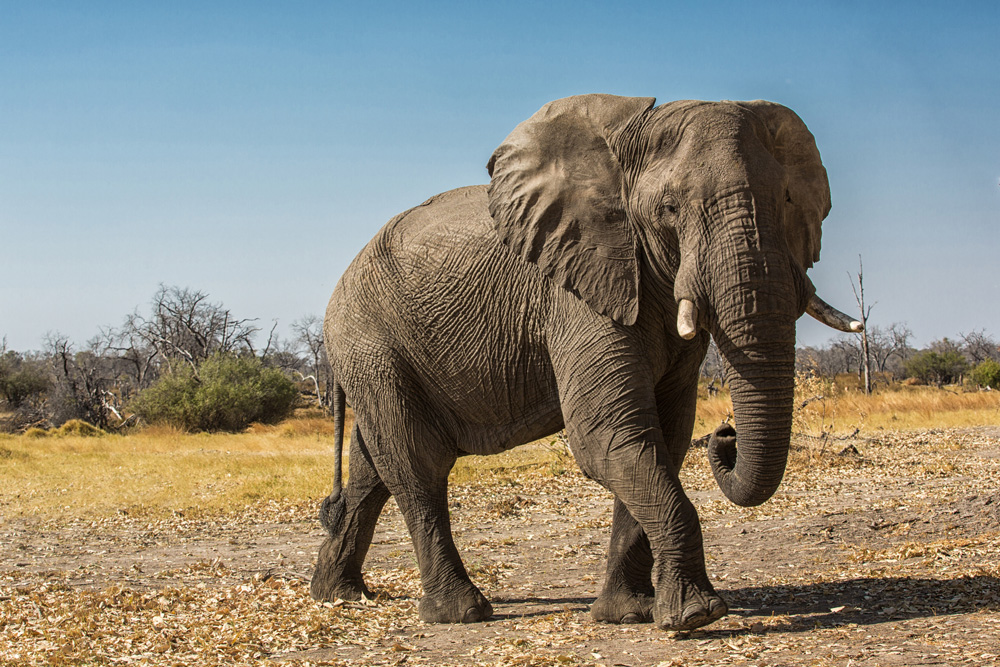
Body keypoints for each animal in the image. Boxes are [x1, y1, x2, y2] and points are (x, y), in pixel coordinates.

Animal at [310, 94, 860, 632]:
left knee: (371, 470)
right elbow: (606, 435)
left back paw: (338, 596)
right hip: (370, 344)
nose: (726, 435)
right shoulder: (575, 290)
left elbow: (663, 435)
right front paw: (697, 616)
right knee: (416, 464)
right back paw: (460, 613)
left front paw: (629, 614)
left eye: (786, 201)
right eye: (669, 209)